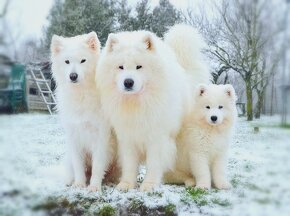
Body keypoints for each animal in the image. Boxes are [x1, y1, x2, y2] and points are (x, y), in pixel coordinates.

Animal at [50, 31, 118, 191]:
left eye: (83, 61)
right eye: (67, 62)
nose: (73, 76)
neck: (81, 93)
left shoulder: (100, 136)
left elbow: (98, 166)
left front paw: (94, 187)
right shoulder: (74, 136)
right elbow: (78, 166)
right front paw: (79, 184)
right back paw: (69, 181)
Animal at [96, 24, 210, 192]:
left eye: (139, 67)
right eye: (120, 67)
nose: (128, 82)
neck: (137, 104)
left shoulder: (157, 138)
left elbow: (154, 163)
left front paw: (149, 184)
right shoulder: (127, 137)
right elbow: (129, 164)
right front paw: (126, 184)